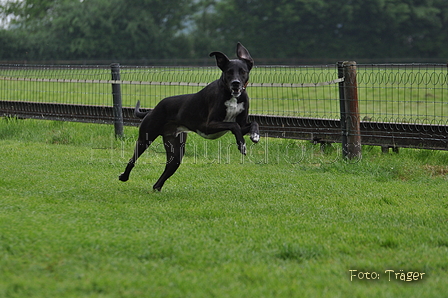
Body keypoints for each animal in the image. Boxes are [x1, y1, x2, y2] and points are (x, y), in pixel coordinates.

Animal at [119, 42, 260, 191]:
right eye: (229, 72)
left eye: (243, 71)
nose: (235, 83)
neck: (231, 95)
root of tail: (152, 110)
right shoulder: (208, 126)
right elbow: (233, 125)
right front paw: (242, 145)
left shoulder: (241, 125)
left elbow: (251, 123)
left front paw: (255, 136)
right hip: (145, 138)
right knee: (133, 159)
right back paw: (124, 176)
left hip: (176, 149)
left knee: (169, 168)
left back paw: (157, 187)